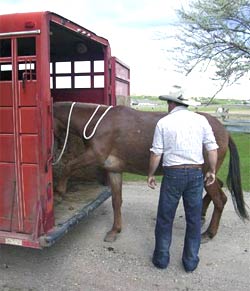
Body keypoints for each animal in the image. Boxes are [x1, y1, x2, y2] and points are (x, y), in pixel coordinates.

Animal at [52, 101, 248, 243]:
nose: (55, 148)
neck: (99, 123)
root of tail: (224, 130)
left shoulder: (94, 156)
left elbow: (68, 166)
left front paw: (60, 192)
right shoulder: (114, 170)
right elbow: (116, 201)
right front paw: (115, 230)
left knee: (220, 200)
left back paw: (209, 233)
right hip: (207, 174)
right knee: (218, 188)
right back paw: (202, 215)